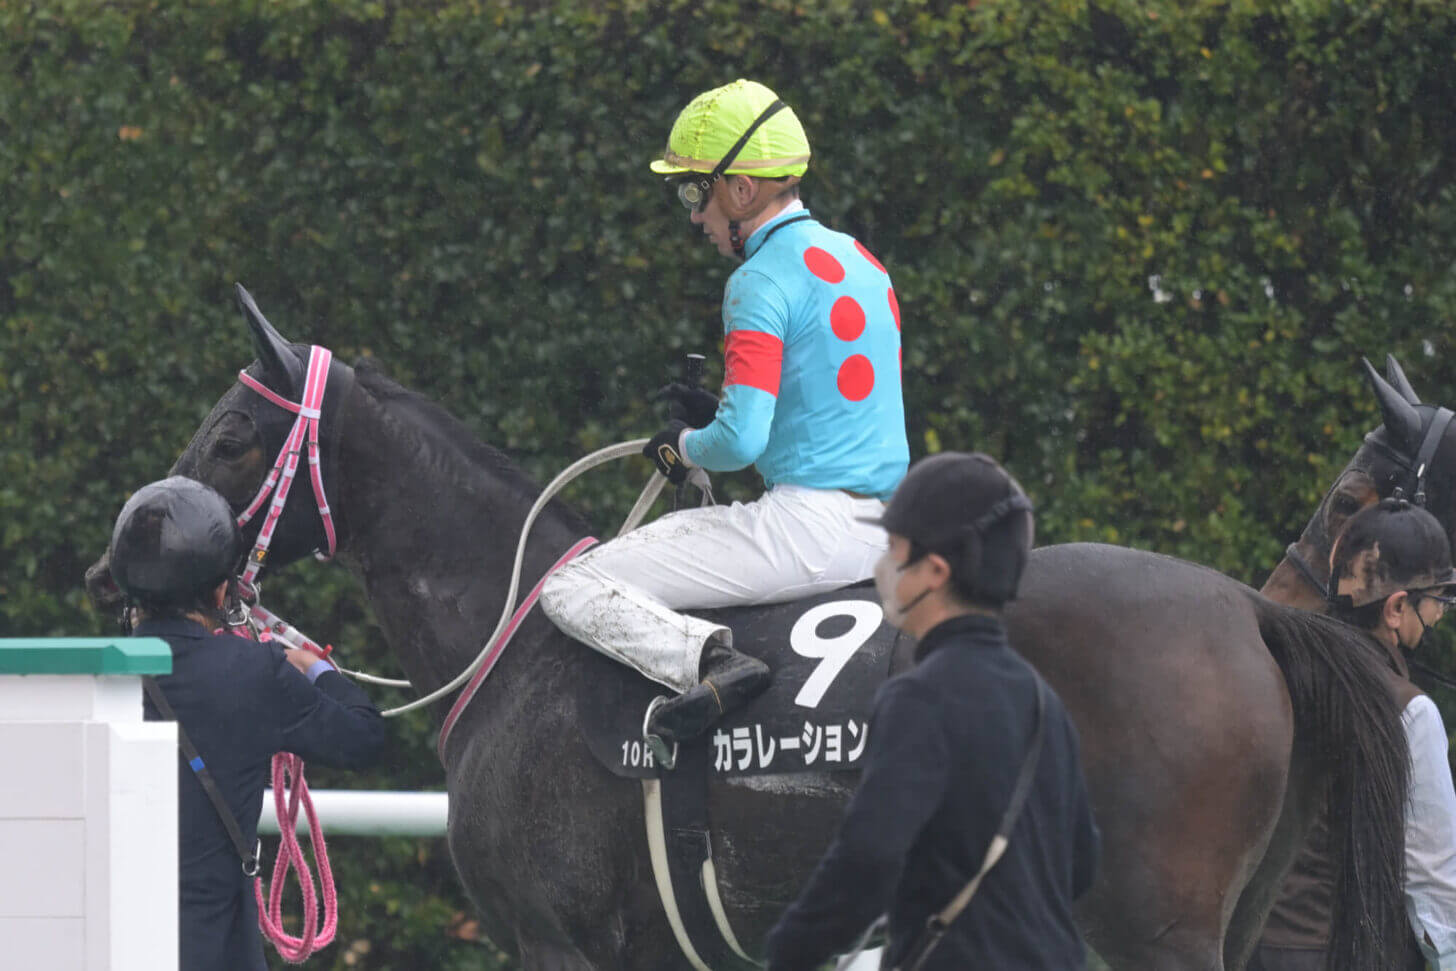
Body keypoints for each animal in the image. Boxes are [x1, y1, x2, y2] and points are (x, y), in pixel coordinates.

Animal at [91, 292, 1444, 966]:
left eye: (229, 434)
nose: (112, 566)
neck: (519, 634)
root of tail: (1248, 611)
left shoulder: (556, 941)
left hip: (1151, 926)